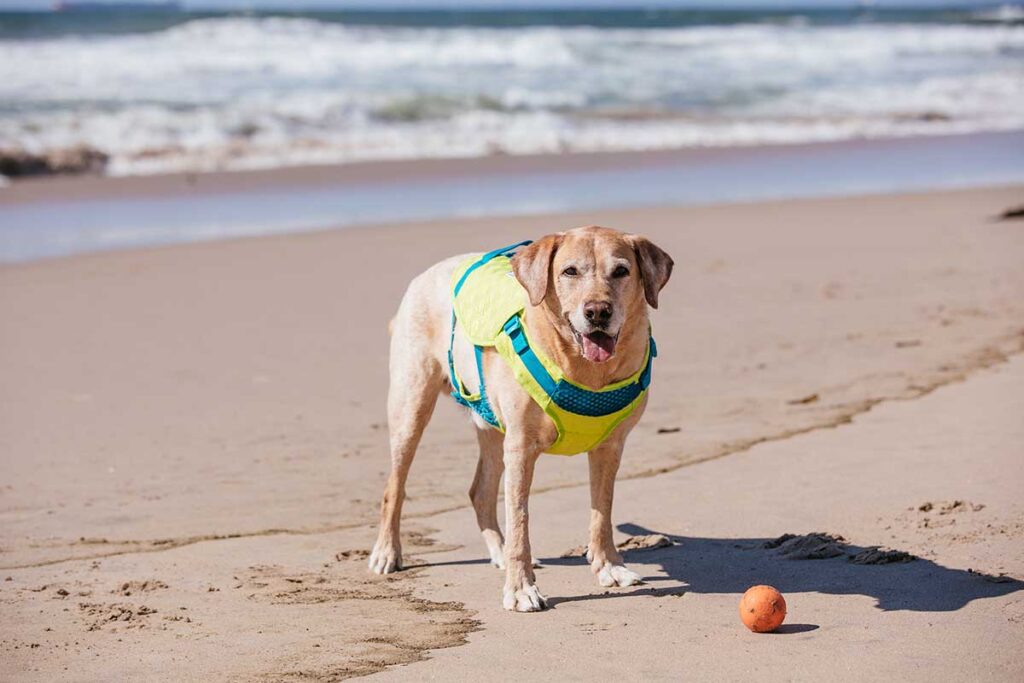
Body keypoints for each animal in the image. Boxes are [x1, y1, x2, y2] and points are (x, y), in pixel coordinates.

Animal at [366, 225, 671, 614]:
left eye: (621, 271)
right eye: (570, 271)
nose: (598, 312)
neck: (585, 371)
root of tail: (425, 275)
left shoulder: (610, 447)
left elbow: (602, 513)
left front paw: (610, 567)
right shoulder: (522, 448)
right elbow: (520, 523)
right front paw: (521, 588)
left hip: (492, 426)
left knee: (480, 492)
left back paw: (497, 551)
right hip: (411, 404)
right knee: (395, 486)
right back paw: (387, 552)